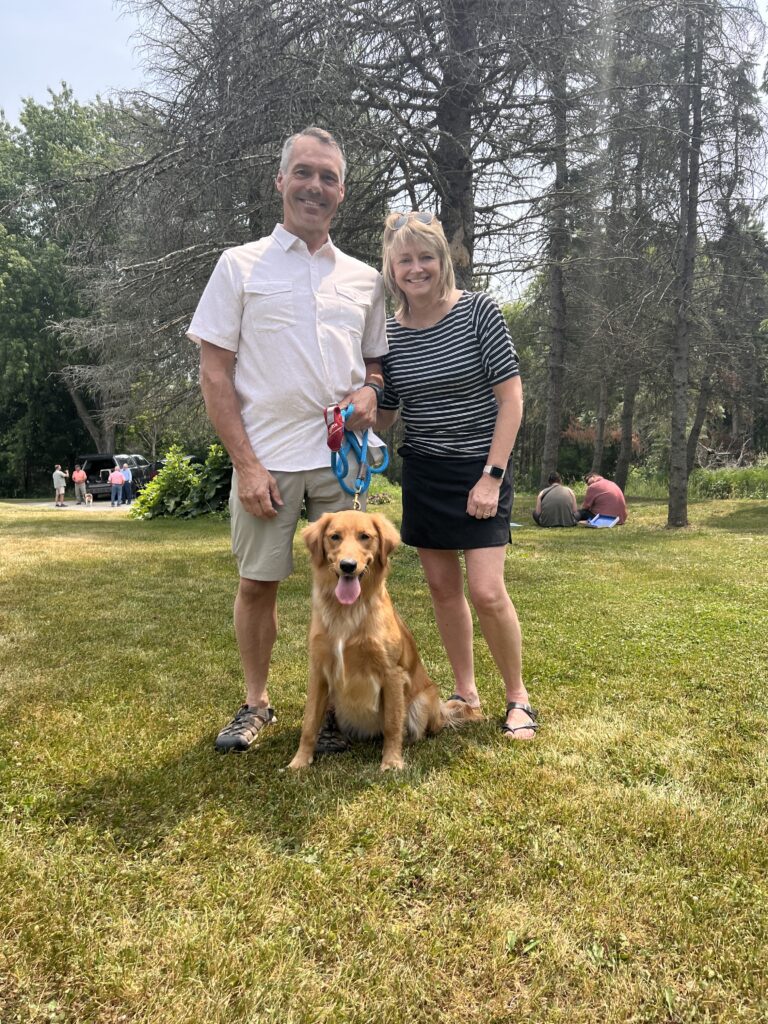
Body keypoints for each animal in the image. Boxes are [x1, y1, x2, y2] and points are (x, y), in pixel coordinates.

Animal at [288, 507, 481, 770]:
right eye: (335, 536)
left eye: (365, 536)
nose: (347, 566)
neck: (348, 611)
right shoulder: (319, 671)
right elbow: (309, 723)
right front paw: (299, 761)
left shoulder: (392, 674)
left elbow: (392, 724)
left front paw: (391, 762)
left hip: (422, 700)